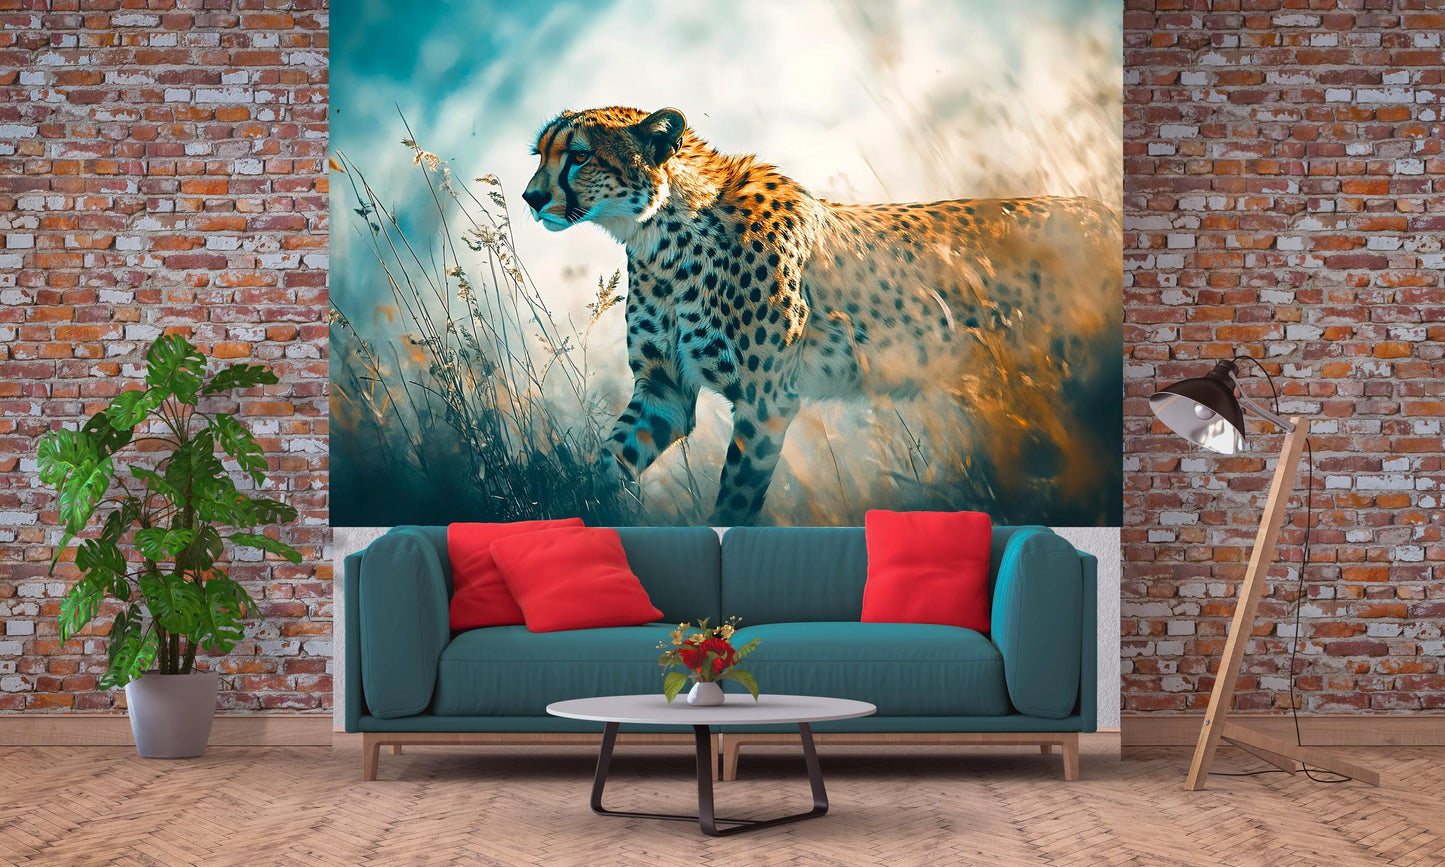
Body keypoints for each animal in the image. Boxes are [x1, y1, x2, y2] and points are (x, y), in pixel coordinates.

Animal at [523, 106, 1121, 526]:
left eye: (580, 156)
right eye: (540, 155)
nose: (530, 197)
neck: (660, 233)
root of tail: (1102, 211)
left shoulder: (766, 401)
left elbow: (734, 502)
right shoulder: (662, 391)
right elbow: (606, 464)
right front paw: (577, 517)